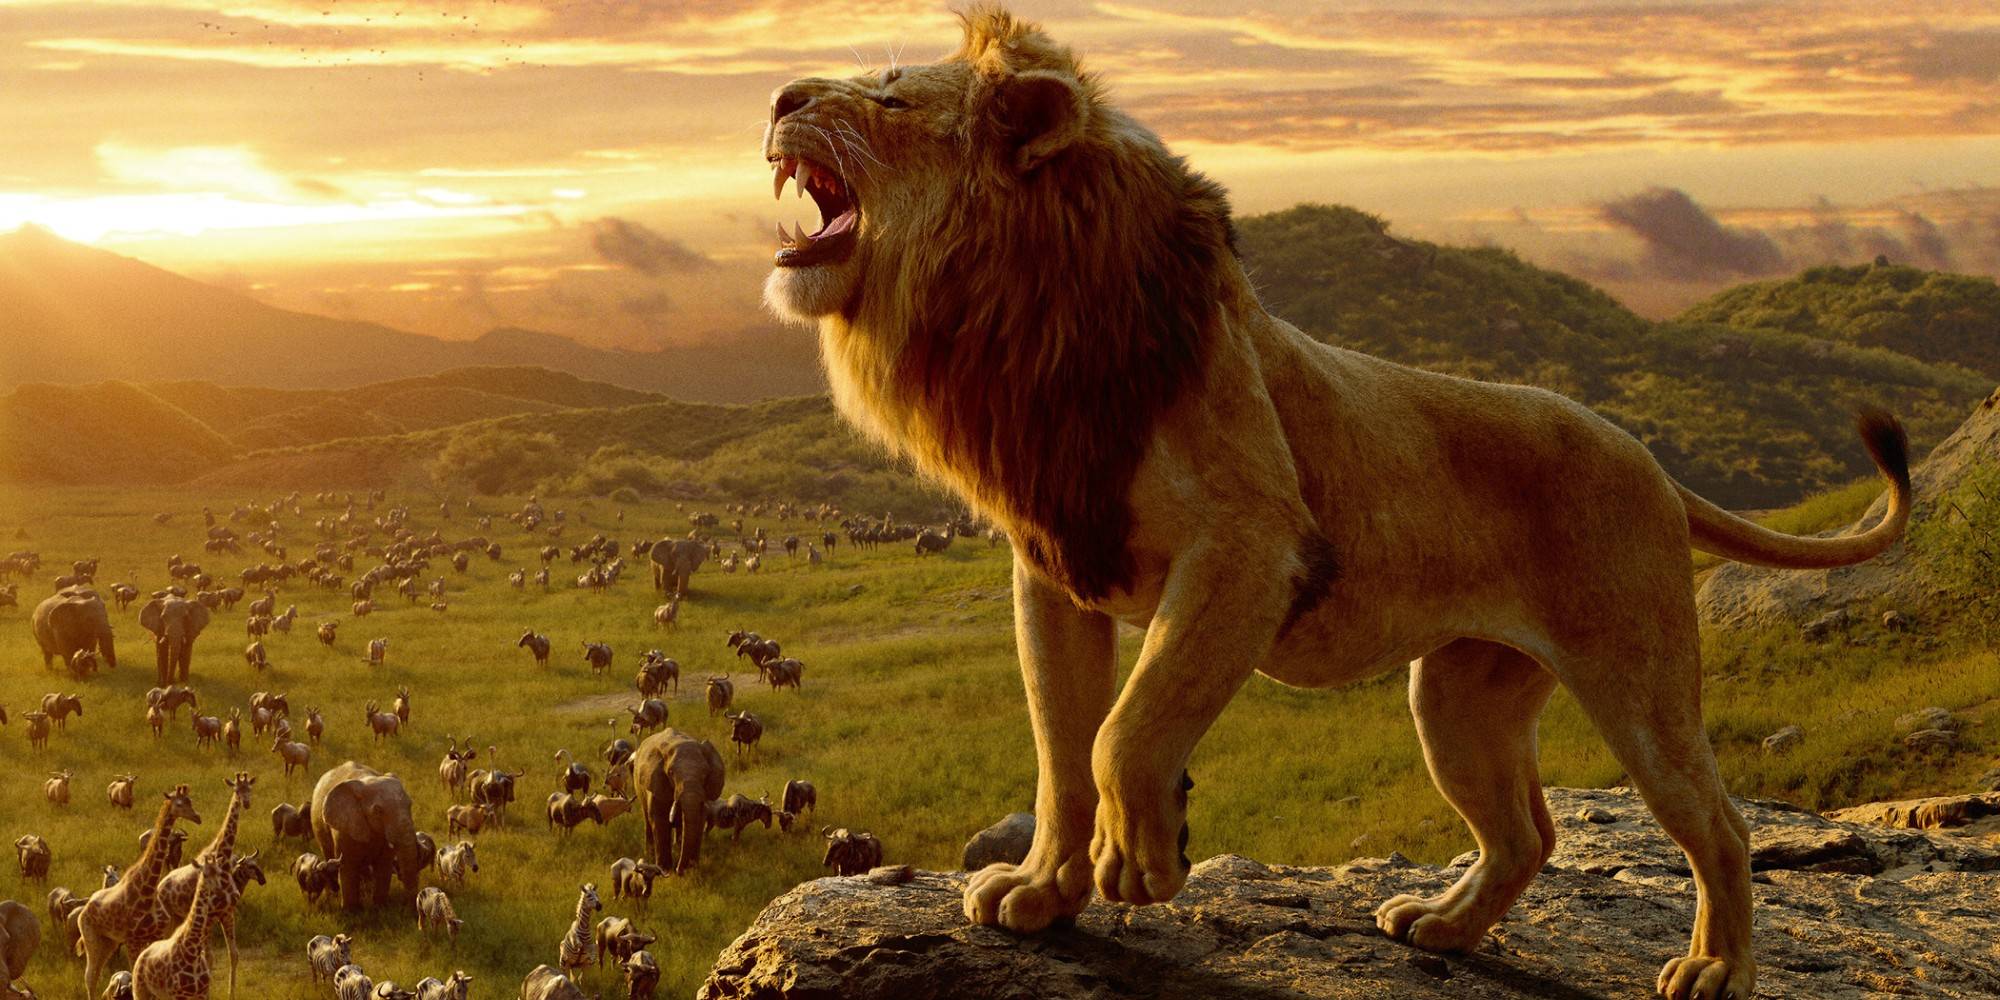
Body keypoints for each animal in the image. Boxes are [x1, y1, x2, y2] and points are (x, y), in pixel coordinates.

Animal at [758, 8, 1911, 1000]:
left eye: (891, 98)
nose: (776, 96)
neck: (1021, 326)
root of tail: (1651, 461)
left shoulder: (1250, 545)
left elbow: (1124, 730)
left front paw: (1142, 862)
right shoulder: (1055, 567)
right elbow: (1058, 750)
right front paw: (1042, 893)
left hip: (1637, 682)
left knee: (1717, 823)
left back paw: (1715, 967)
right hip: (1458, 698)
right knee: (1526, 832)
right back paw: (1440, 927)